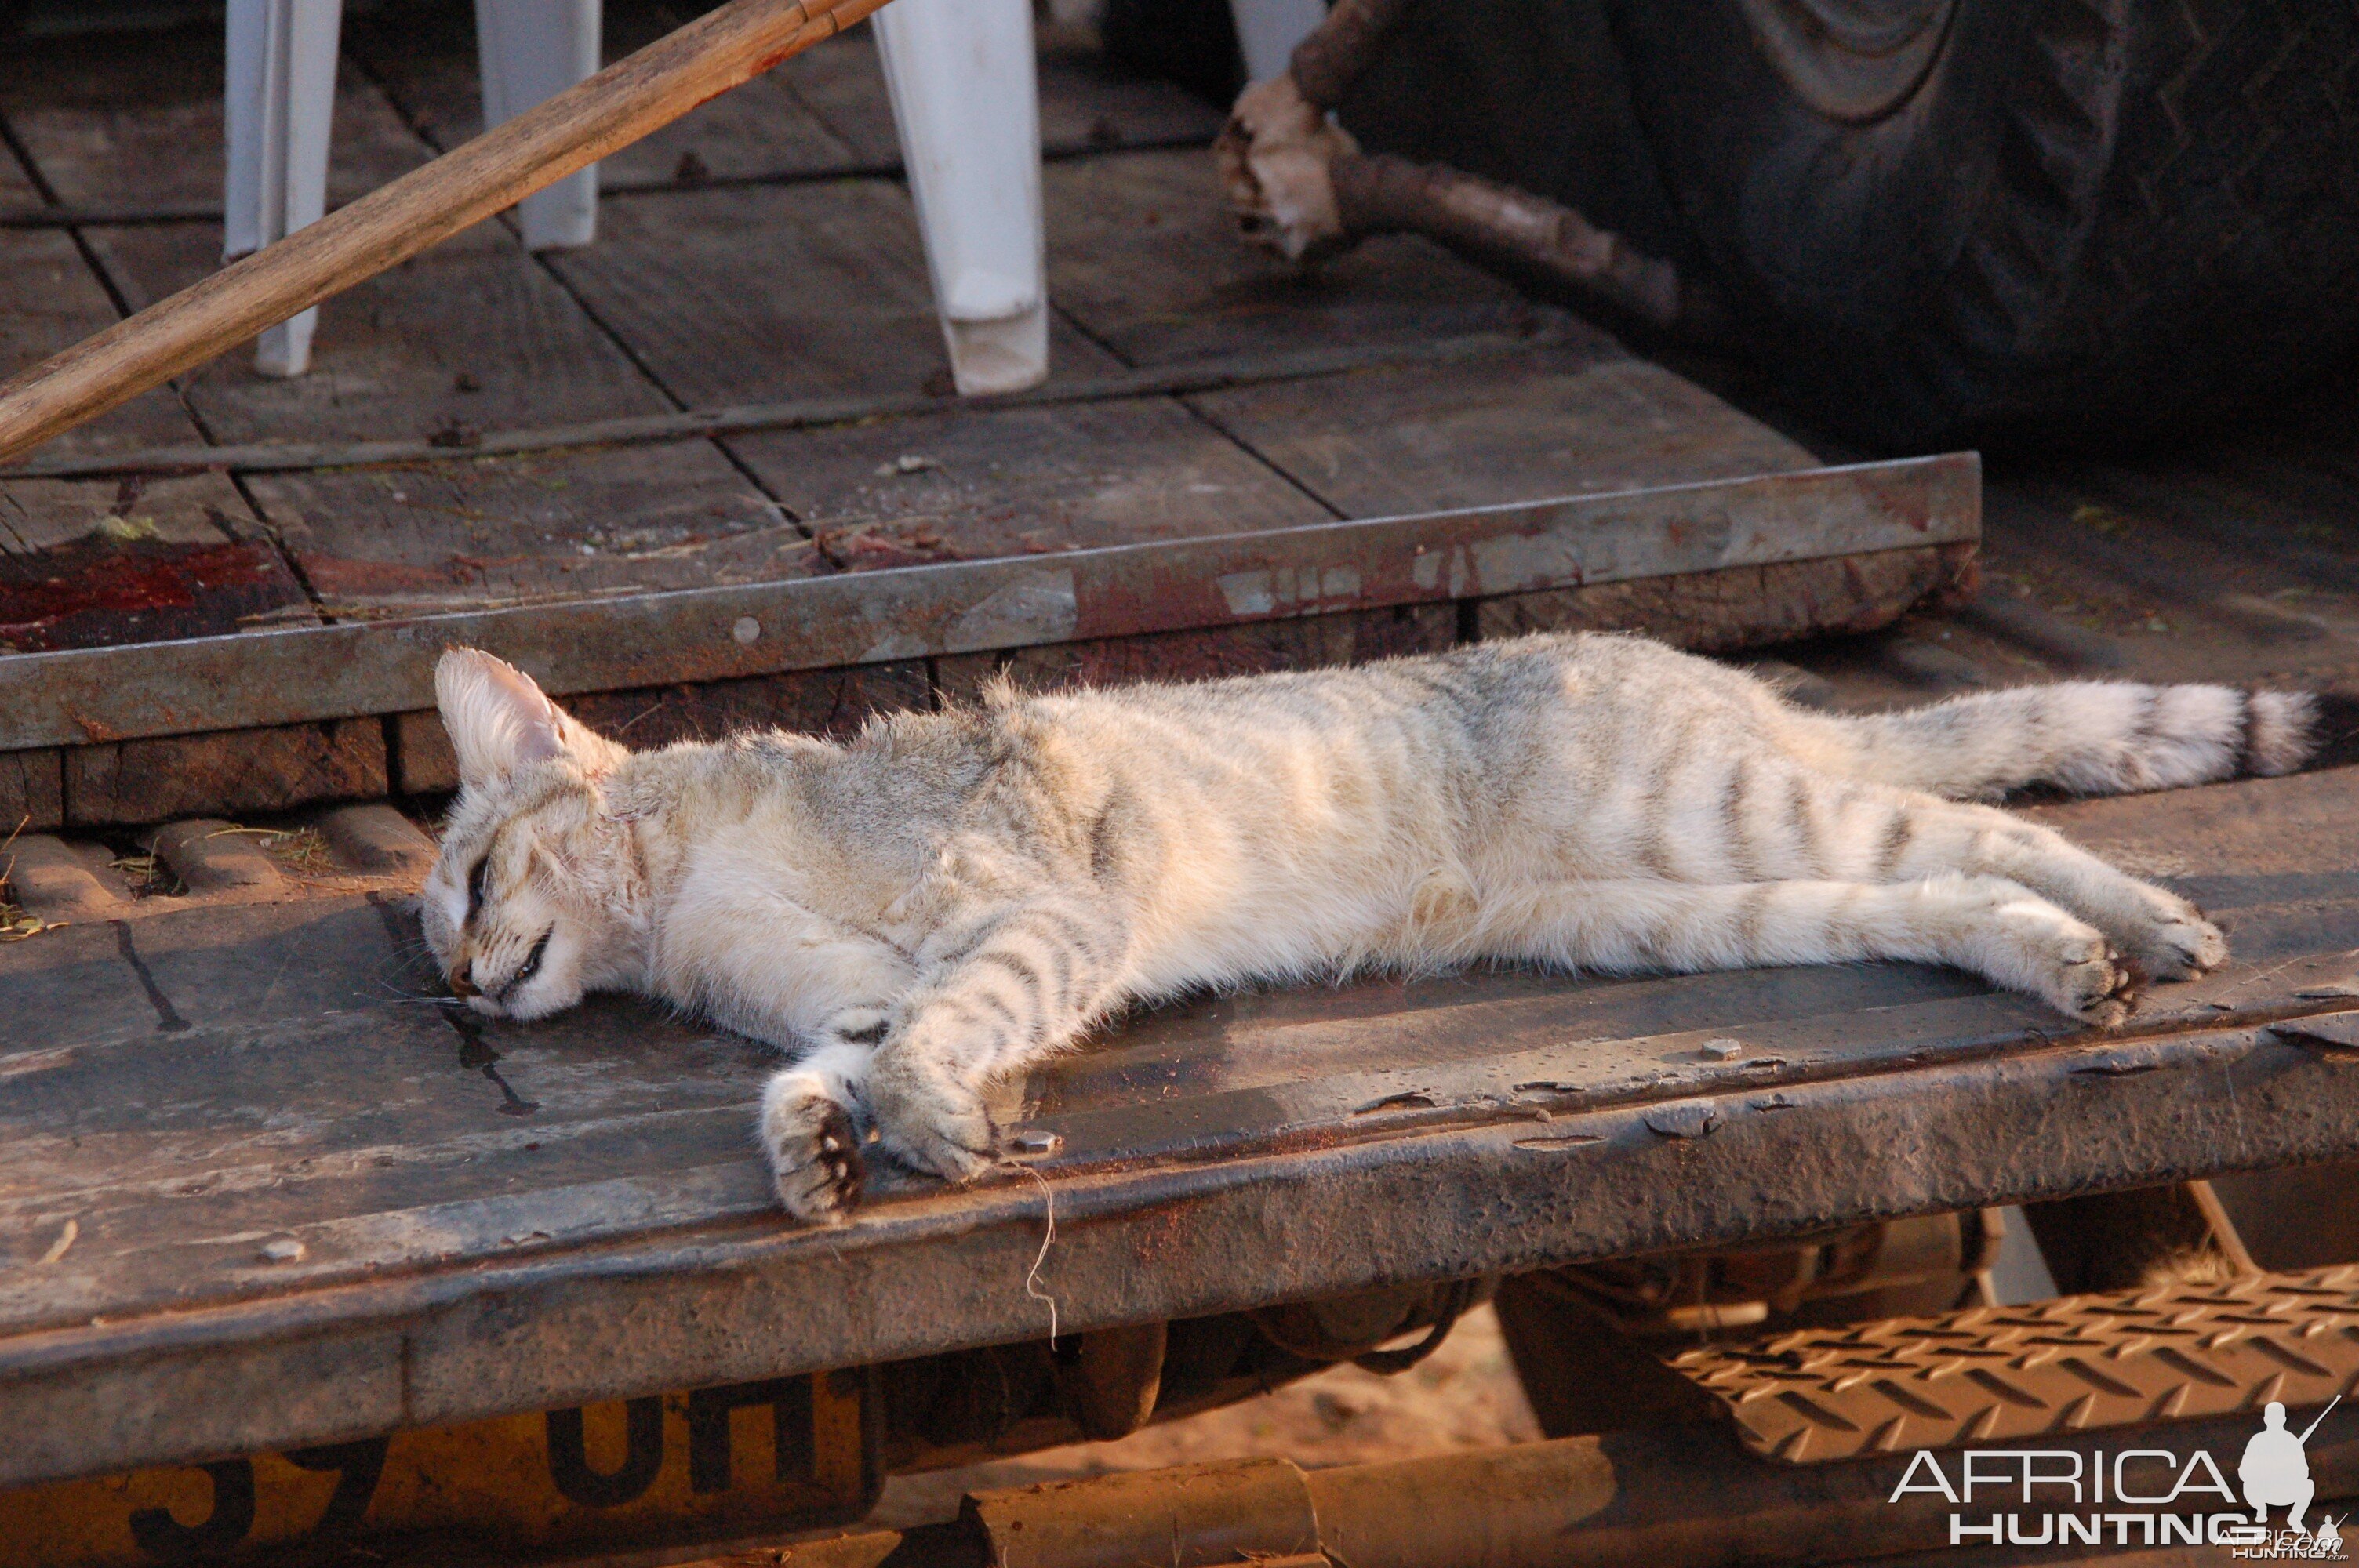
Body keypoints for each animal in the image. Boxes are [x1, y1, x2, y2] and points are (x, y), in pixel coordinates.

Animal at [424, 637, 2321, 1225]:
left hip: (1724, 814)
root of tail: (1721, 674)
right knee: (1935, 891)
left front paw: (919, 1124)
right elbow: (846, 1056)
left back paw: (2149, 920)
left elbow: (938, 1039)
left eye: (470, 879)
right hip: (1661, 915)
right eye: (437, 924)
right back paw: (2057, 960)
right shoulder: (874, 989)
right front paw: (813, 1146)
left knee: (1994, 825)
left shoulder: (1039, 910)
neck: (692, 909)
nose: (456, 985)